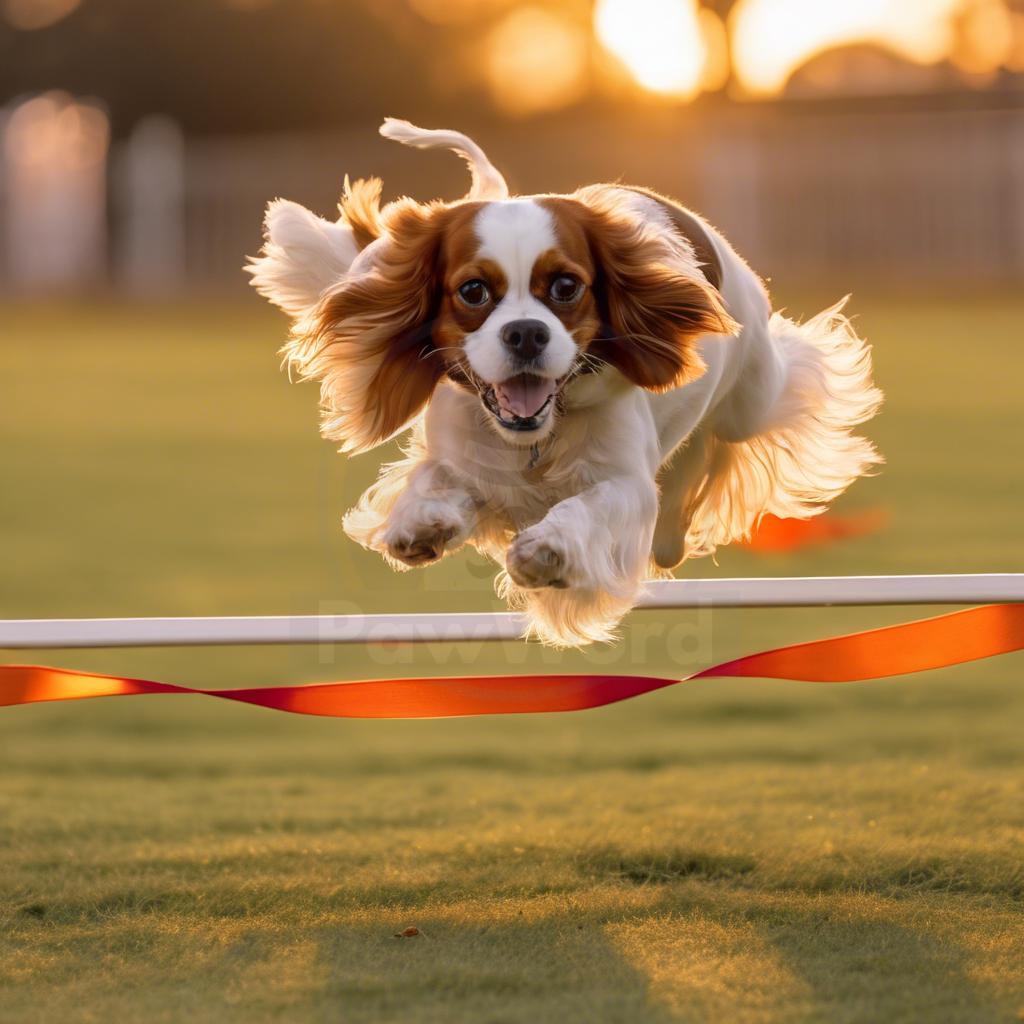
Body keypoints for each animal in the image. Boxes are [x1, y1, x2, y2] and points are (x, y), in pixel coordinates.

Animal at [247, 119, 880, 647]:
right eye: (474, 291)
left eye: (566, 287)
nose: (526, 333)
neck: (536, 435)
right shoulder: (468, 457)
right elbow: (435, 478)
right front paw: (421, 520)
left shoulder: (625, 485)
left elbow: (590, 506)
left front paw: (546, 549)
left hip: (753, 395)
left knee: (722, 441)